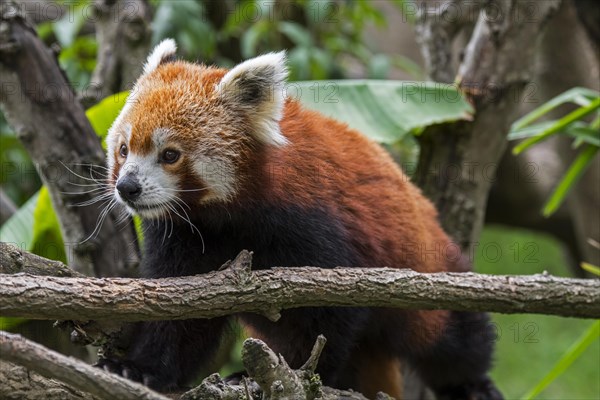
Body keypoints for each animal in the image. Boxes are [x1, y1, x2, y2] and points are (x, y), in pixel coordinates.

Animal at [98, 39, 502, 400]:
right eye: (124, 149)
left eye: (170, 155)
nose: (127, 187)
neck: (225, 214)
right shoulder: (187, 234)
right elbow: (183, 316)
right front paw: (140, 368)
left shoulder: (307, 219)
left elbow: (325, 313)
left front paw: (294, 371)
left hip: (426, 265)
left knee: (453, 338)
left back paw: (471, 383)